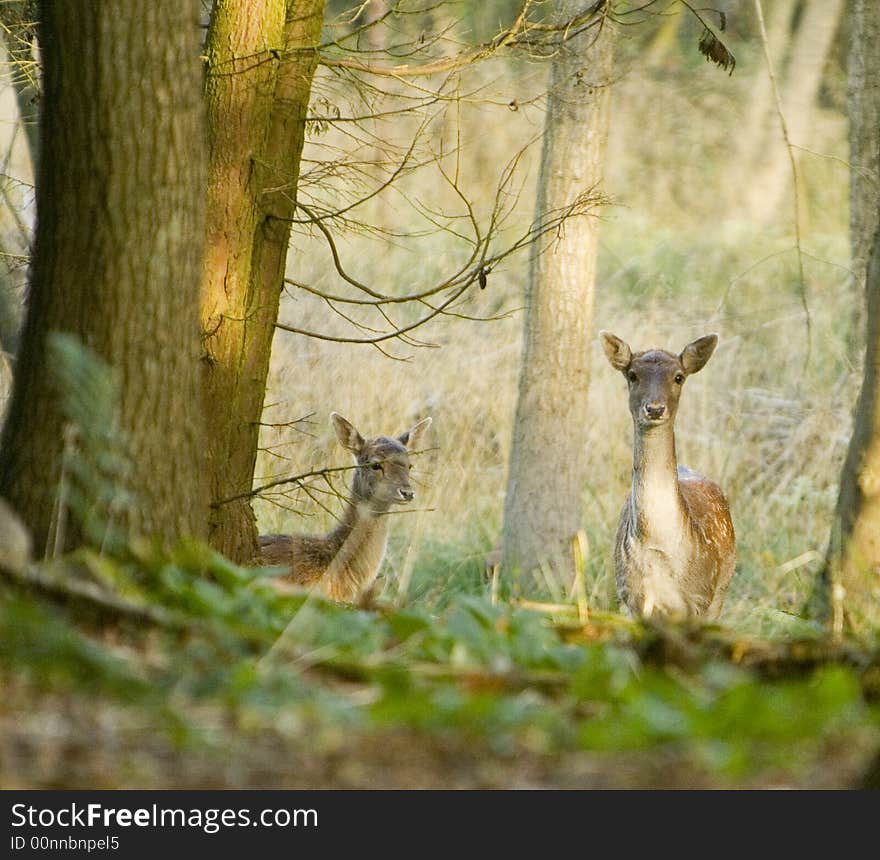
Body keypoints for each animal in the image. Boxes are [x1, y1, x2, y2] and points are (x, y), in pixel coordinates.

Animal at [600, 330, 736, 620]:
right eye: (632, 375)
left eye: (678, 376)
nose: (654, 408)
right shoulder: (630, 598)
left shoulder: (699, 598)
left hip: (721, 590)